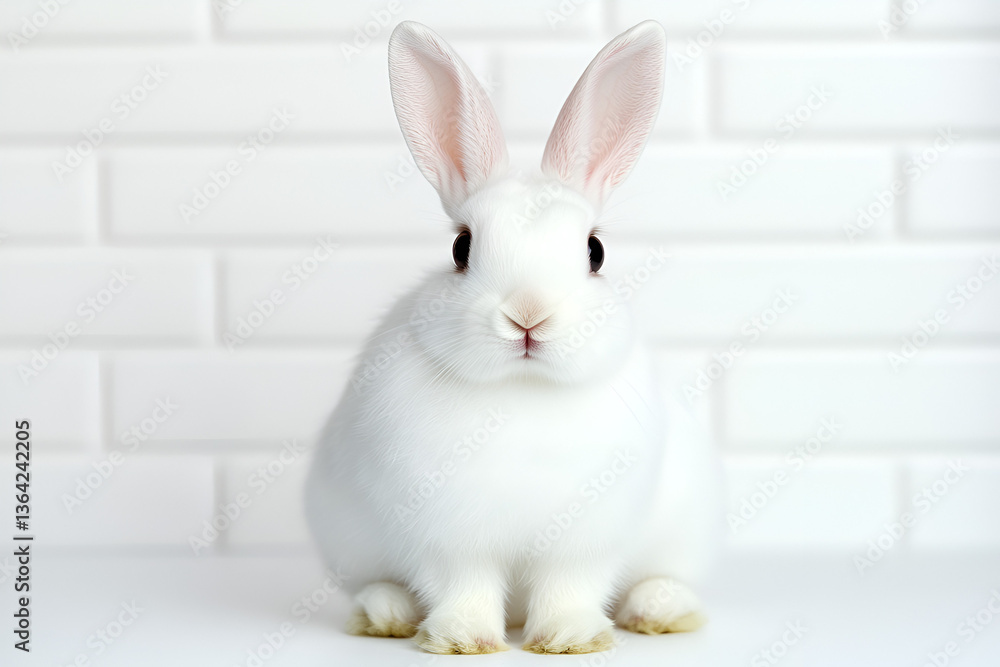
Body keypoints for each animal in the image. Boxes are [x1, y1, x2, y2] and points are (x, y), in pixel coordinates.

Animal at [305, 19, 721, 655]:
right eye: (461, 247)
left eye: (596, 252)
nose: (529, 317)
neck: (522, 390)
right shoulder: (447, 537)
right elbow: (463, 586)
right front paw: (462, 640)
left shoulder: (585, 541)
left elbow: (570, 586)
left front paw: (570, 639)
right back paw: (386, 613)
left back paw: (659, 609)